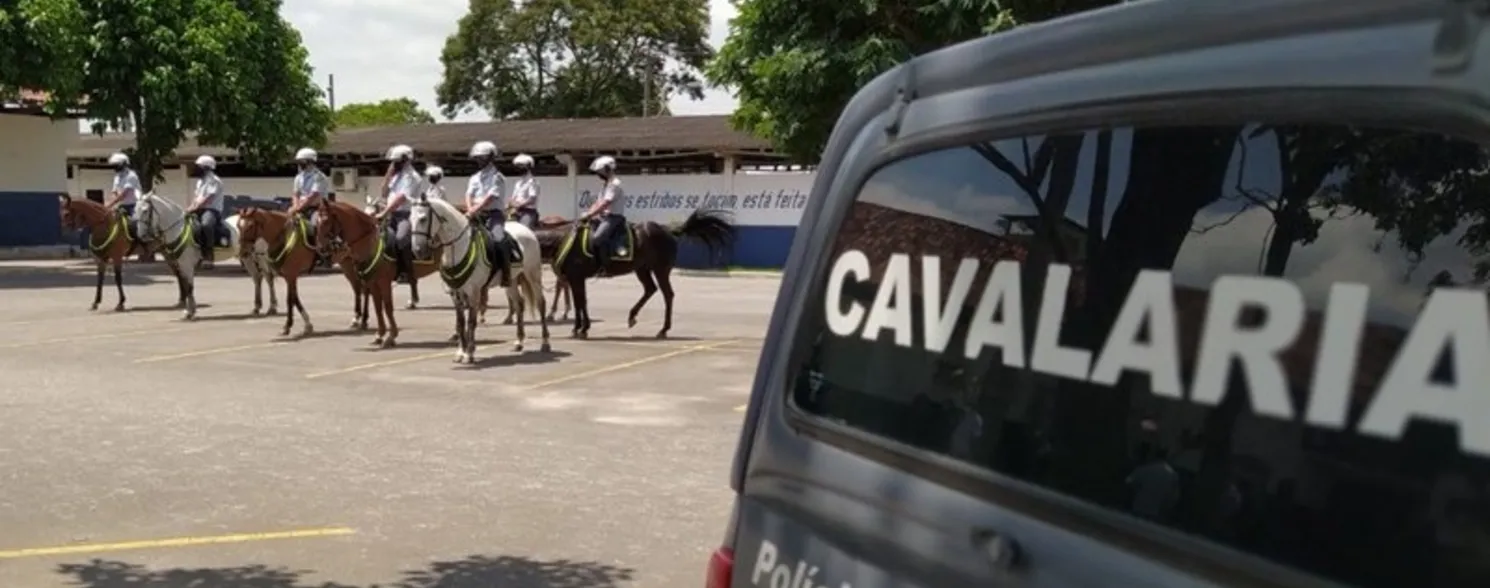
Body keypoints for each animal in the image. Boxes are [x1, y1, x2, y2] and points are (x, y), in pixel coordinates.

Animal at [233, 208, 324, 337]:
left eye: (250, 226)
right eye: (238, 225)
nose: (242, 252)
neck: (285, 239)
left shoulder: (291, 275)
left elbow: (290, 299)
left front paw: (288, 326)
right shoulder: (289, 276)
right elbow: (294, 298)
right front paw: (307, 325)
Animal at [408, 196, 548, 363]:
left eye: (423, 219)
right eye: (410, 219)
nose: (417, 251)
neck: (459, 248)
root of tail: (527, 231)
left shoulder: (474, 292)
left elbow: (471, 321)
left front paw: (469, 353)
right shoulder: (456, 293)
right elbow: (460, 322)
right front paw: (460, 352)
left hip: (533, 275)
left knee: (541, 303)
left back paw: (545, 343)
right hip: (511, 281)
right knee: (519, 304)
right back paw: (519, 342)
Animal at [554, 211, 733, 340]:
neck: (567, 239)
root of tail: (667, 230)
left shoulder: (576, 278)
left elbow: (580, 302)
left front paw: (580, 328)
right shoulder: (575, 279)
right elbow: (580, 301)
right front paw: (580, 328)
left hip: (660, 270)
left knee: (667, 294)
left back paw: (663, 329)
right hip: (642, 269)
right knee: (650, 289)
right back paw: (633, 317)